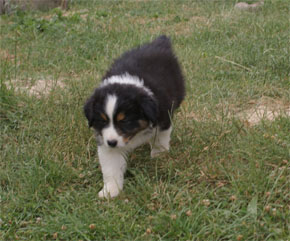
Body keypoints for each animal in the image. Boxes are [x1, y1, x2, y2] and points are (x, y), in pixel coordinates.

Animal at [84, 35, 185, 198]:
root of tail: (160, 42)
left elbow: (160, 138)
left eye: (124, 120)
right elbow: (111, 167)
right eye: (102, 121)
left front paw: (159, 155)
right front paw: (110, 190)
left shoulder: (163, 117)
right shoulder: (105, 140)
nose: (111, 142)